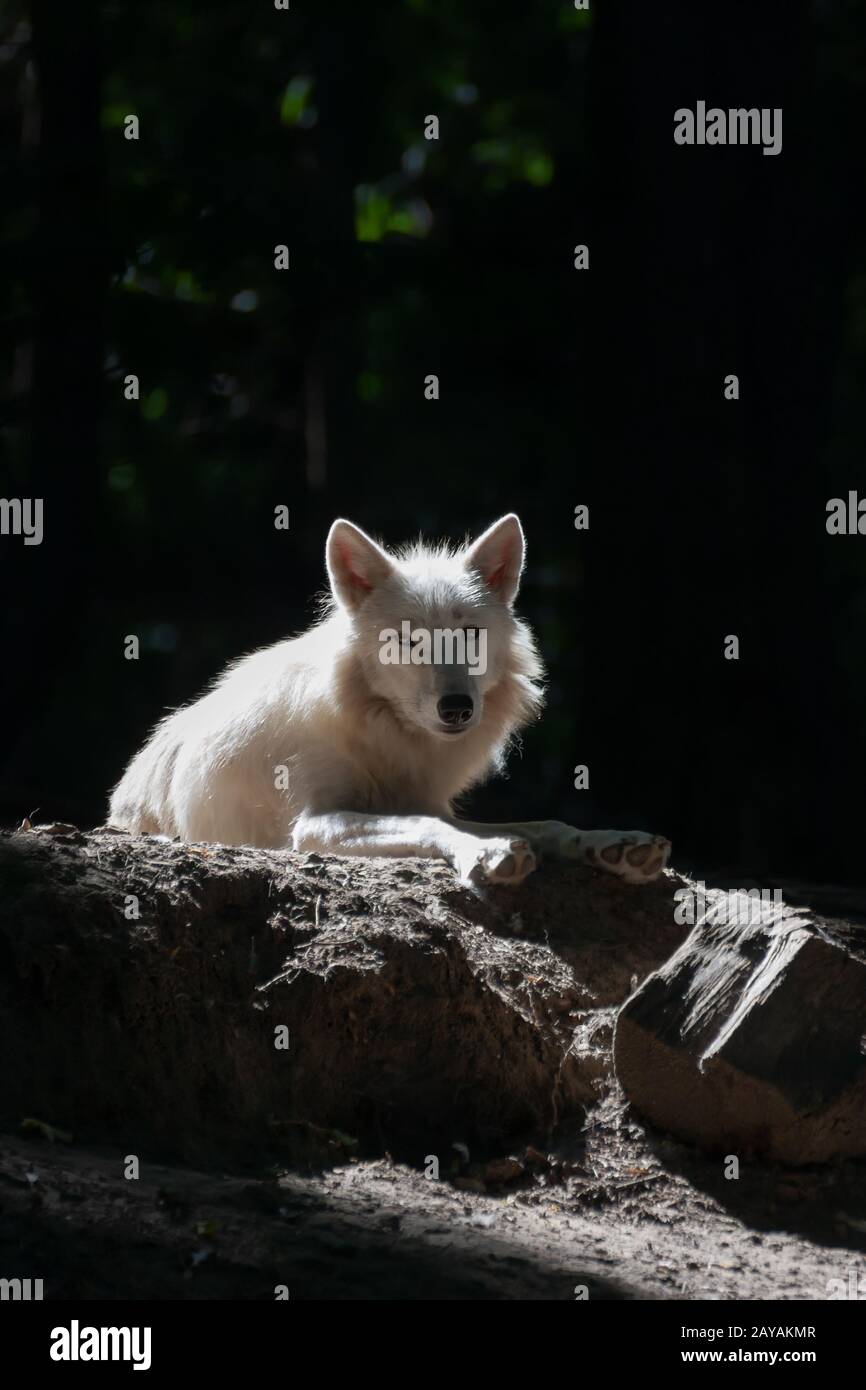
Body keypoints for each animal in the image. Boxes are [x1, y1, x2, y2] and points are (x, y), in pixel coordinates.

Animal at [108, 517, 670, 884]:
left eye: (468, 636)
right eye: (408, 641)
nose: (457, 708)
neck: (382, 733)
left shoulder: (421, 798)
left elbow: (544, 823)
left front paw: (612, 843)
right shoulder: (313, 825)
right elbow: (429, 826)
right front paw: (487, 852)